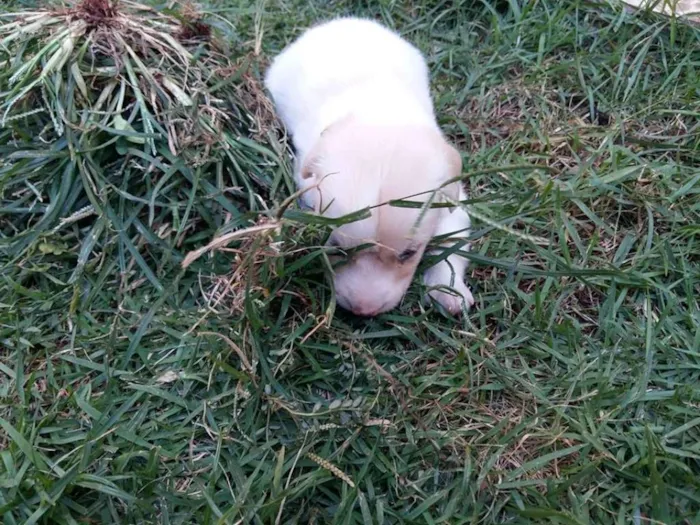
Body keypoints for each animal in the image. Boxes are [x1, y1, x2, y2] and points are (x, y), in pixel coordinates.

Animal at [266, 16, 474, 316]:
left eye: (408, 254)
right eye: (338, 248)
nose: (364, 311)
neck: (381, 114)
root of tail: (344, 22)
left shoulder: (452, 205)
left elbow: (452, 242)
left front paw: (449, 289)